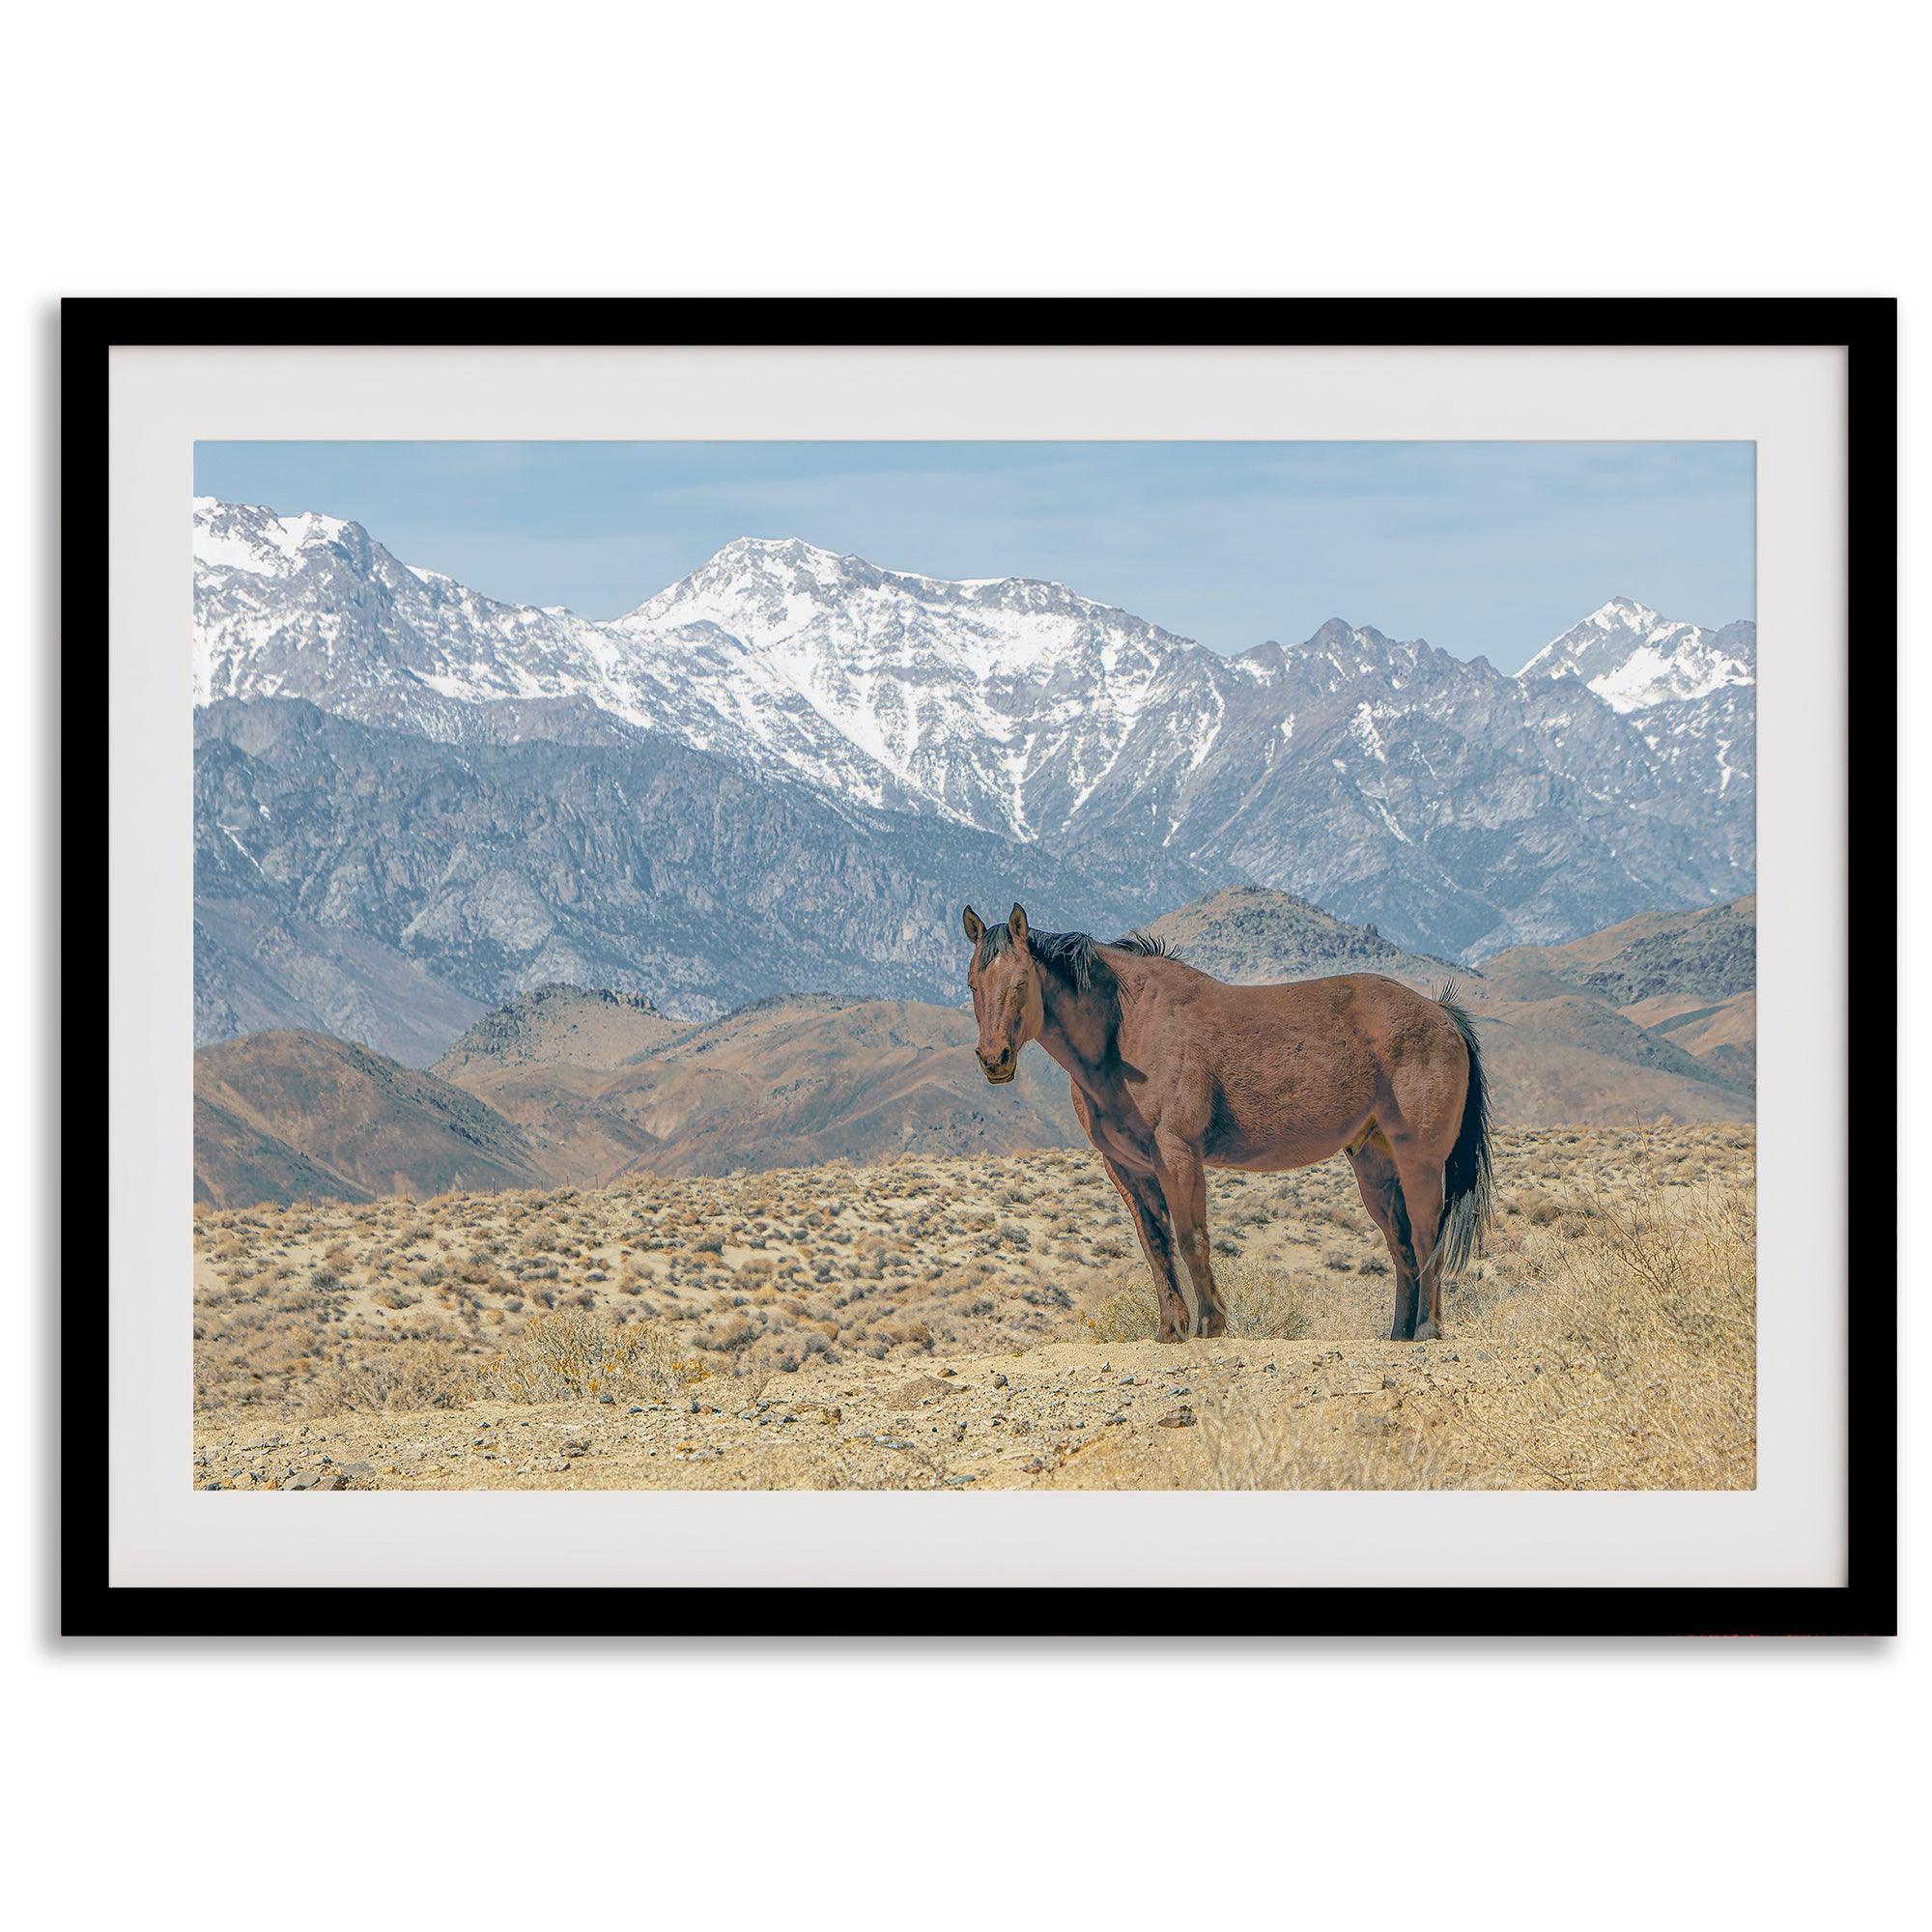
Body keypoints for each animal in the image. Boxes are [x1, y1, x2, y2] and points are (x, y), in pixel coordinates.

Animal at [966, 904, 1492, 1345]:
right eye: (973, 983)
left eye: (1020, 982)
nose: (994, 1060)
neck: (1128, 1027)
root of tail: (1443, 1016)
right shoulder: (1126, 1167)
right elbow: (1155, 1244)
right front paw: (1170, 1330)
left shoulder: (1177, 1154)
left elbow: (1191, 1238)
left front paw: (1210, 1324)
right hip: (1374, 1163)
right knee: (1401, 1244)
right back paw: (1400, 1334)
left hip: (1419, 1159)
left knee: (1426, 1234)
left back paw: (1428, 1330)